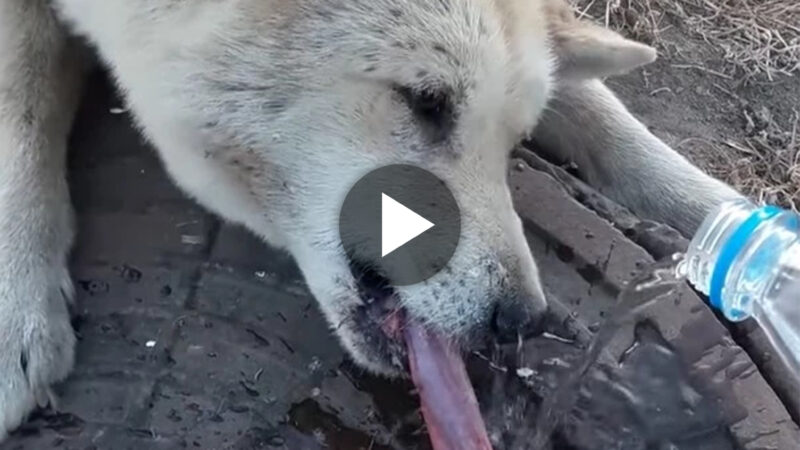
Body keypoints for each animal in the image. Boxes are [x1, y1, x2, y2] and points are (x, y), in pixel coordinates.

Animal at [0, 0, 736, 440]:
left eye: (514, 142)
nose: (521, 319)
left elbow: (612, 127)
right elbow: (20, 107)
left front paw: (729, 223)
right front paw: (17, 313)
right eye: (427, 101)